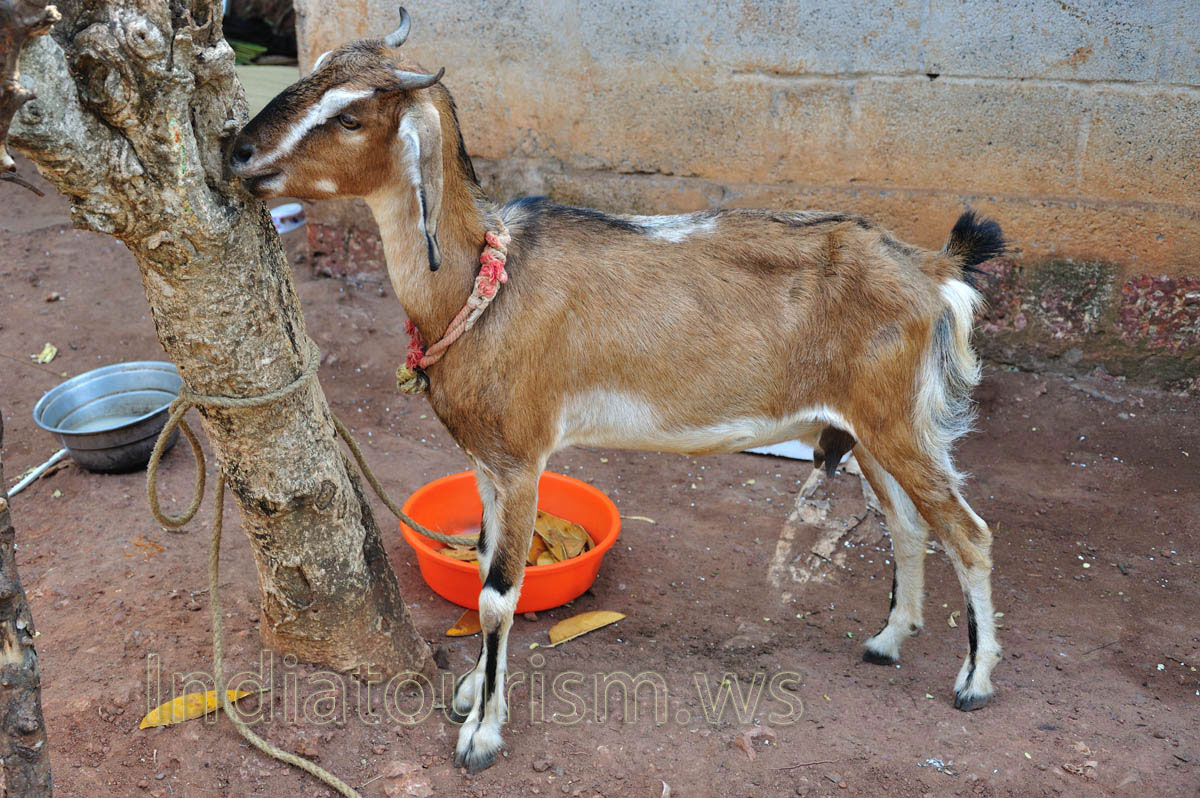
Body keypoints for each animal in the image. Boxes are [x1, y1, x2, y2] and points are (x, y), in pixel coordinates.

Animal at [229, 8, 1006, 773]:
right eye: (314, 72)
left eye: (352, 117)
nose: (236, 150)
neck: (484, 284)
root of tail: (933, 269)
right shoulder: (485, 463)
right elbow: (482, 566)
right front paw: (473, 691)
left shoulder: (521, 460)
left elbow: (497, 596)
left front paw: (481, 734)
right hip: (872, 430)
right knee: (910, 527)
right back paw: (888, 641)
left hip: (901, 425)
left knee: (968, 533)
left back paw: (973, 681)